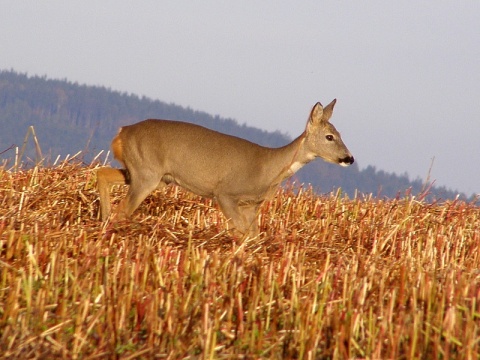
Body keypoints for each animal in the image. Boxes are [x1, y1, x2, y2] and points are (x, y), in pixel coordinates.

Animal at [96, 100, 352, 238]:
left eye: (340, 133)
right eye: (329, 136)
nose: (349, 158)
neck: (268, 169)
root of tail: (122, 132)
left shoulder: (251, 205)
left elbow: (252, 236)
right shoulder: (225, 193)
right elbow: (242, 233)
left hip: (147, 173)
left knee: (102, 174)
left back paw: (103, 218)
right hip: (146, 173)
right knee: (122, 210)